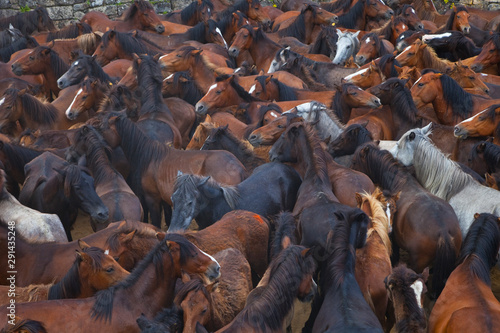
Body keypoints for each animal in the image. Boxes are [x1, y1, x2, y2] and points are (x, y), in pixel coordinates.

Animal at [94, 115, 245, 228]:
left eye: (103, 129)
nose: (97, 146)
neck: (150, 157)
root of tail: (238, 166)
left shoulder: (152, 198)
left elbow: (155, 223)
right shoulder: (164, 198)